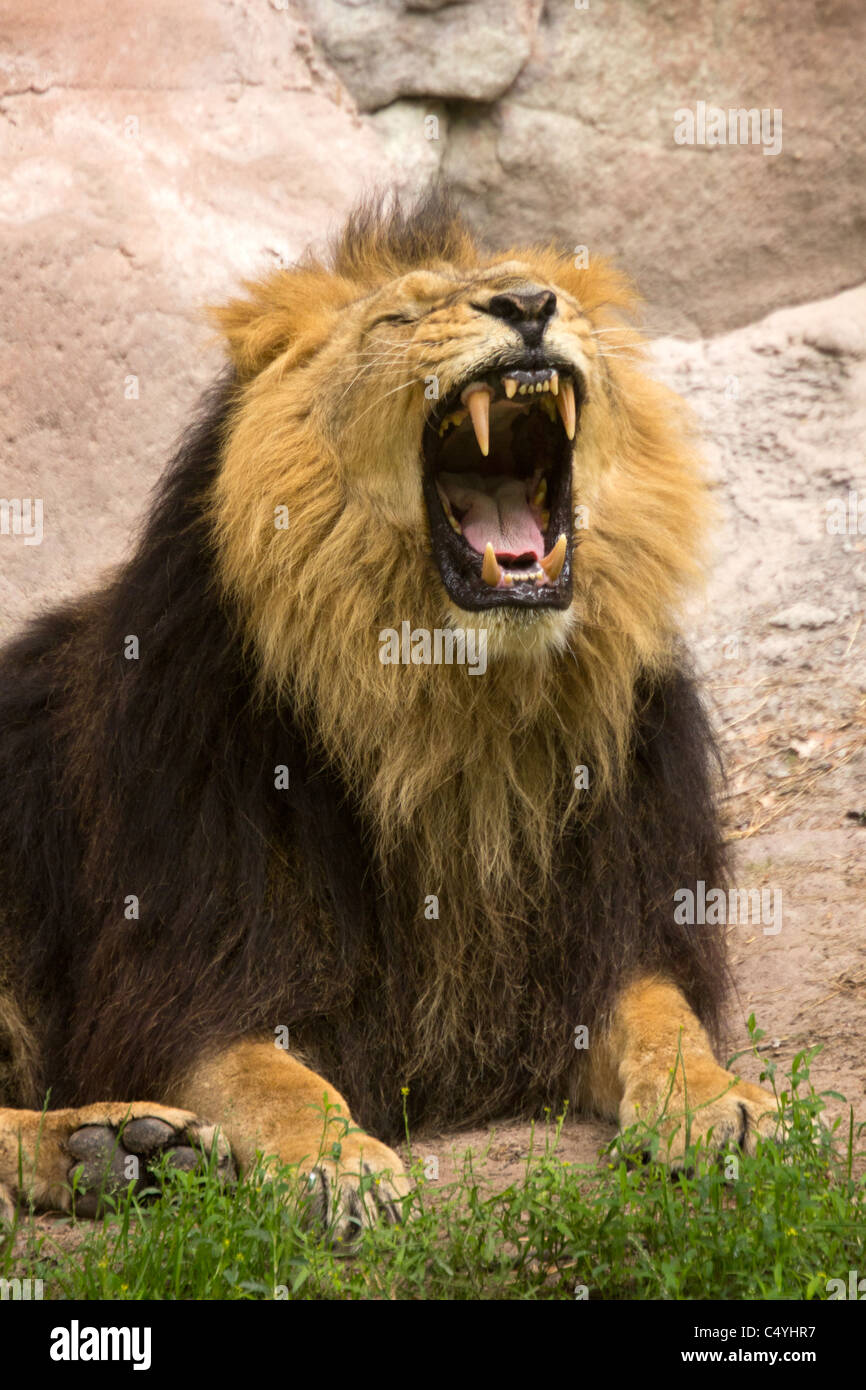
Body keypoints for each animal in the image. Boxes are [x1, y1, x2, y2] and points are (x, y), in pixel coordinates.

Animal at [0, 190, 775, 1238]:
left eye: (558, 292)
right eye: (401, 316)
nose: (530, 305)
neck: (451, 713)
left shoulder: (607, 935)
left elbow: (665, 1019)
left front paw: (721, 1106)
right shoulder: (183, 972)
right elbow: (271, 1078)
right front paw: (342, 1165)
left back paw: (124, 1154)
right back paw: (106, 1144)